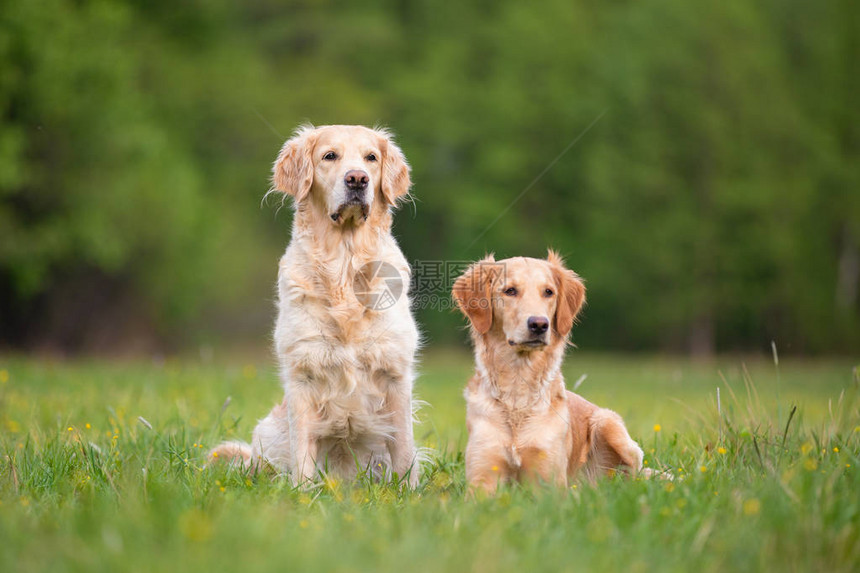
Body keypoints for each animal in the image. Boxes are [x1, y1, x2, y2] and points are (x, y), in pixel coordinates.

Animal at [212, 123, 420, 484]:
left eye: (371, 157)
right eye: (329, 156)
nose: (357, 179)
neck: (345, 265)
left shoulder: (395, 370)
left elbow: (404, 448)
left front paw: (410, 490)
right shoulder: (303, 370)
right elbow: (303, 447)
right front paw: (302, 491)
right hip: (267, 434)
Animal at [454, 252, 640, 494]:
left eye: (548, 292)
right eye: (510, 290)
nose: (539, 324)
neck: (517, 393)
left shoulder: (547, 481)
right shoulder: (482, 478)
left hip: (609, 424)